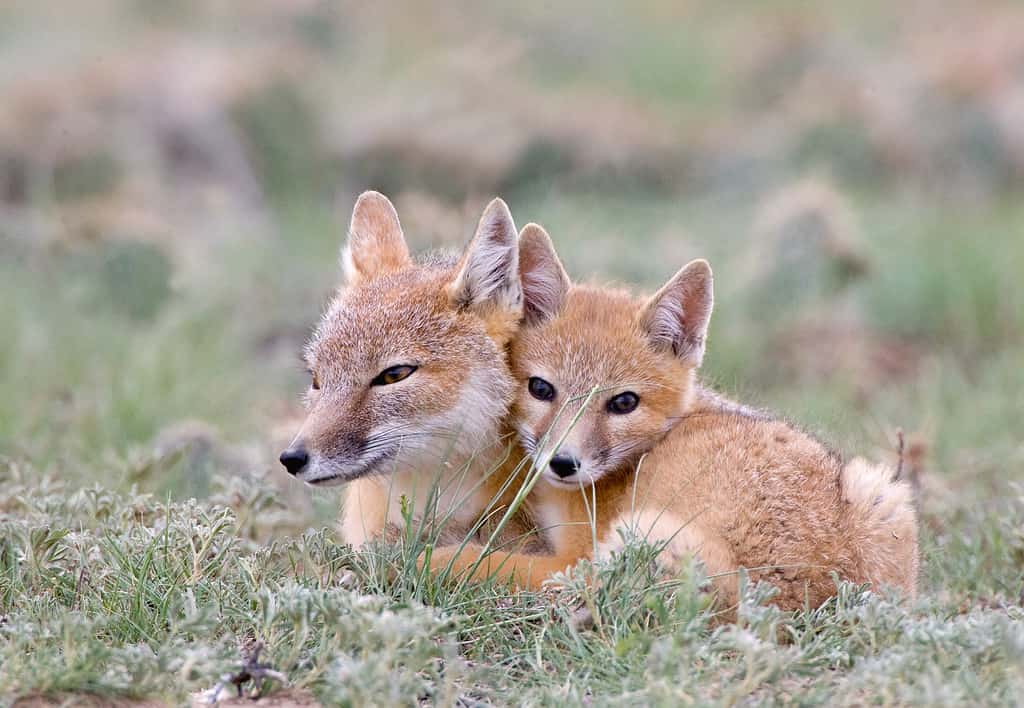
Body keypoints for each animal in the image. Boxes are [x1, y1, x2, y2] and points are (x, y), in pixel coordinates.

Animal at [430, 228, 921, 614]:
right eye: (541, 389)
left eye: (624, 402)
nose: (563, 464)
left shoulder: (572, 557)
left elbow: (480, 560)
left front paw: (422, 558)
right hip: (882, 491)